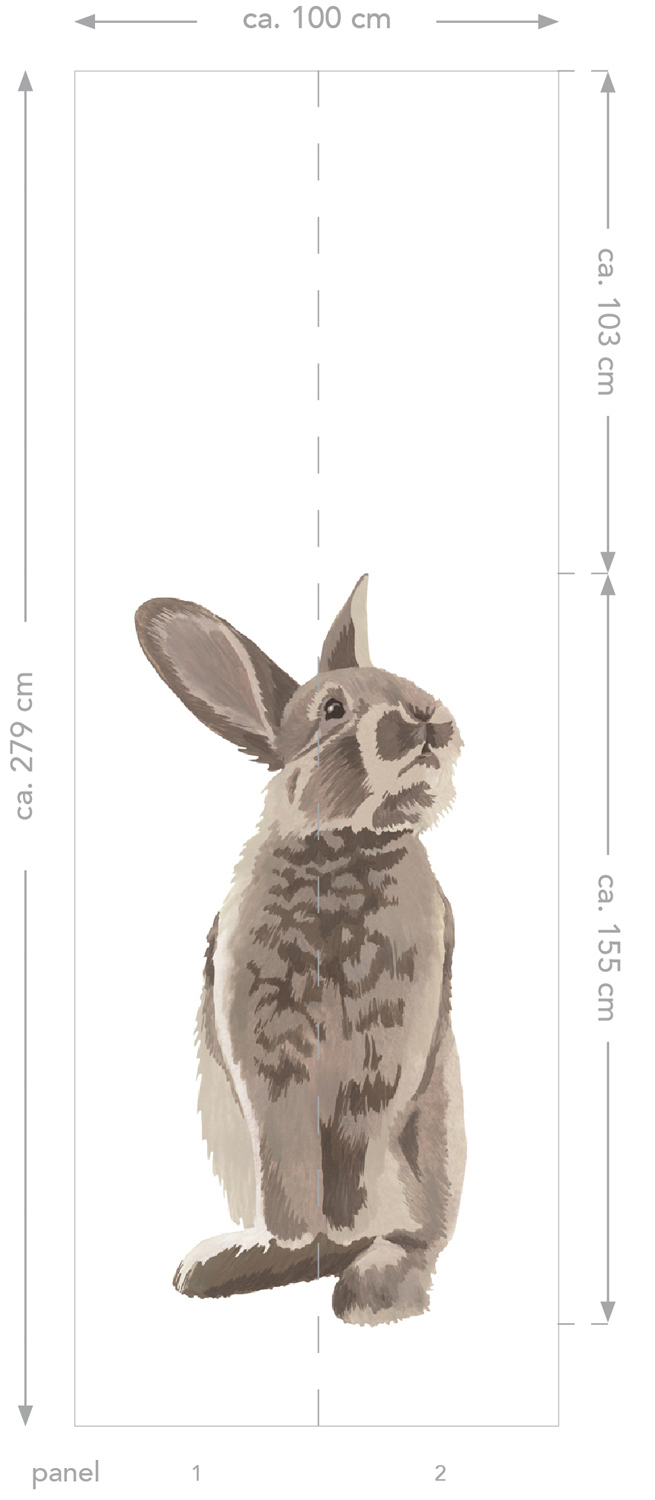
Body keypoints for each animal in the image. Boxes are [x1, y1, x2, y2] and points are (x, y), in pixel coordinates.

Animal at [135, 576, 466, 1325]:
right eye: (334, 710)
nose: (426, 718)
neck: (345, 845)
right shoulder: (265, 1058)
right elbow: (285, 1157)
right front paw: (302, 1233)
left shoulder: (388, 1055)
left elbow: (359, 1142)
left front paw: (345, 1229)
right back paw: (232, 1262)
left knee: (415, 1237)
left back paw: (373, 1287)